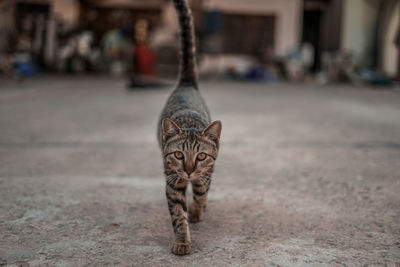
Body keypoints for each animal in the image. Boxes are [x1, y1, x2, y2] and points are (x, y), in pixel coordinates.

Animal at [158, 0, 222, 256]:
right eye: (178, 154)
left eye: (201, 156)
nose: (187, 170)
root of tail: (186, 84)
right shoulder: (172, 182)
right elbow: (178, 215)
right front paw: (182, 240)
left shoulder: (206, 173)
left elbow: (201, 194)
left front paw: (196, 211)